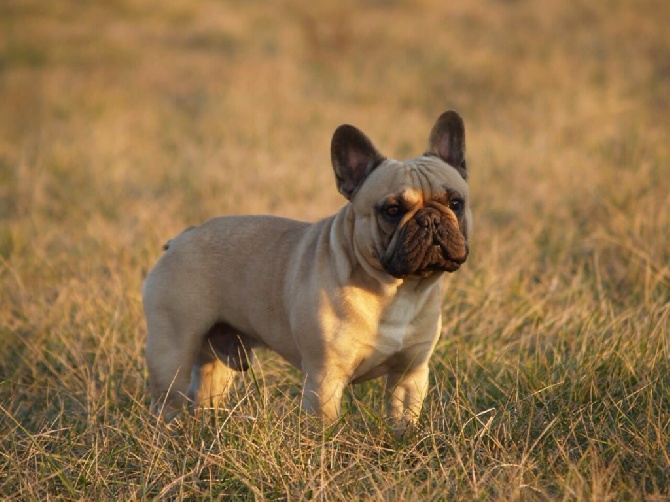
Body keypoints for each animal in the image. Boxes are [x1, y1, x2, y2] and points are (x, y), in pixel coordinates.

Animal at [143, 112, 472, 434]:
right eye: (391, 210)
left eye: (456, 203)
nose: (430, 220)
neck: (397, 290)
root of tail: (182, 237)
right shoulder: (324, 378)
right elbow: (325, 430)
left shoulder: (409, 374)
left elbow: (402, 421)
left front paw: (402, 443)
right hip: (171, 354)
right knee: (168, 402)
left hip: (217, 359)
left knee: (205, 393)